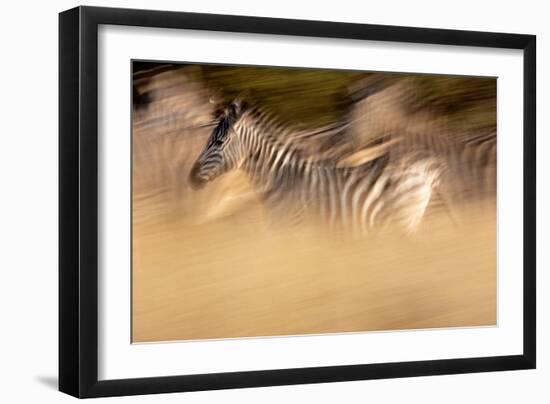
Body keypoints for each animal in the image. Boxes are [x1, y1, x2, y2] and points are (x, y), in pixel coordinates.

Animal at [190, 98, 444, 235]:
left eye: (218, 142)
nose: (191, 177)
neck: (279, 179)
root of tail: (423, 165)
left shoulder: (294, 230)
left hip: (404, 220)